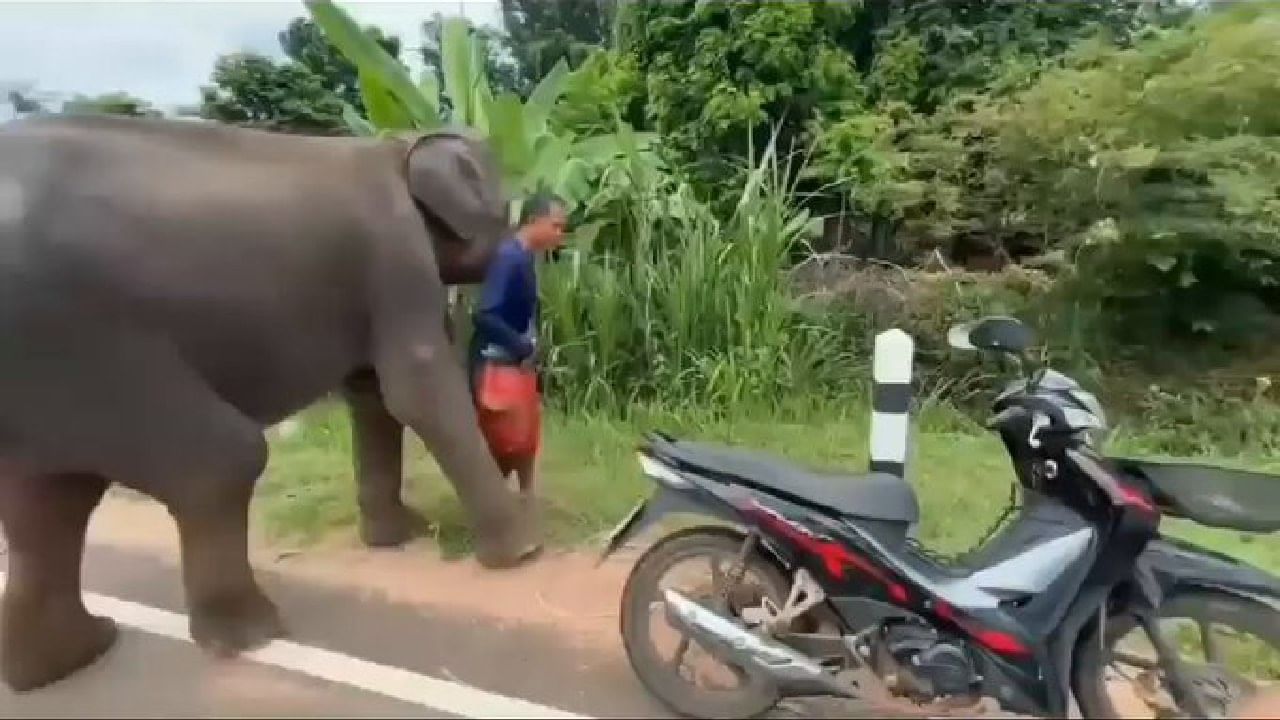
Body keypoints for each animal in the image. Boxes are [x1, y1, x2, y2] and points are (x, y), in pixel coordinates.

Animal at [0, 113, 540, 691]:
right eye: (505, 202)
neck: (399, 142)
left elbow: (372, 393)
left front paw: (396, 537)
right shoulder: (392, 247)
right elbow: (413, 386)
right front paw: (525, 551)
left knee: (48, 505)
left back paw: (73, 656)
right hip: (81, 338)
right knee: (220, 461)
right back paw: (252, 634)